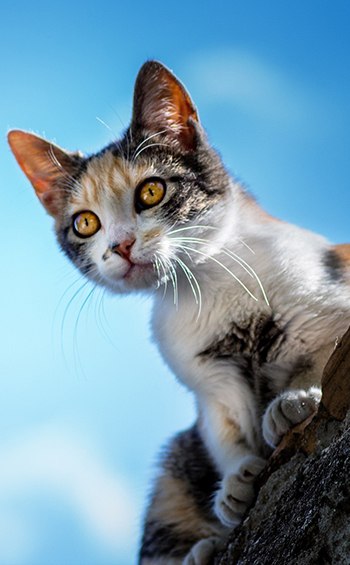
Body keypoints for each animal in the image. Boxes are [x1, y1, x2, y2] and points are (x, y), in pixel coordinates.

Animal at [6, 61, 350, 564]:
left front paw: (296, 399)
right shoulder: (209, 387)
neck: (207, 288)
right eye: (85, 223)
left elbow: (324, 355)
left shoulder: (328, 303)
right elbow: (223, 431)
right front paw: (235, 482)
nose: (121, 245)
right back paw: (203, 547)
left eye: (151, 191)